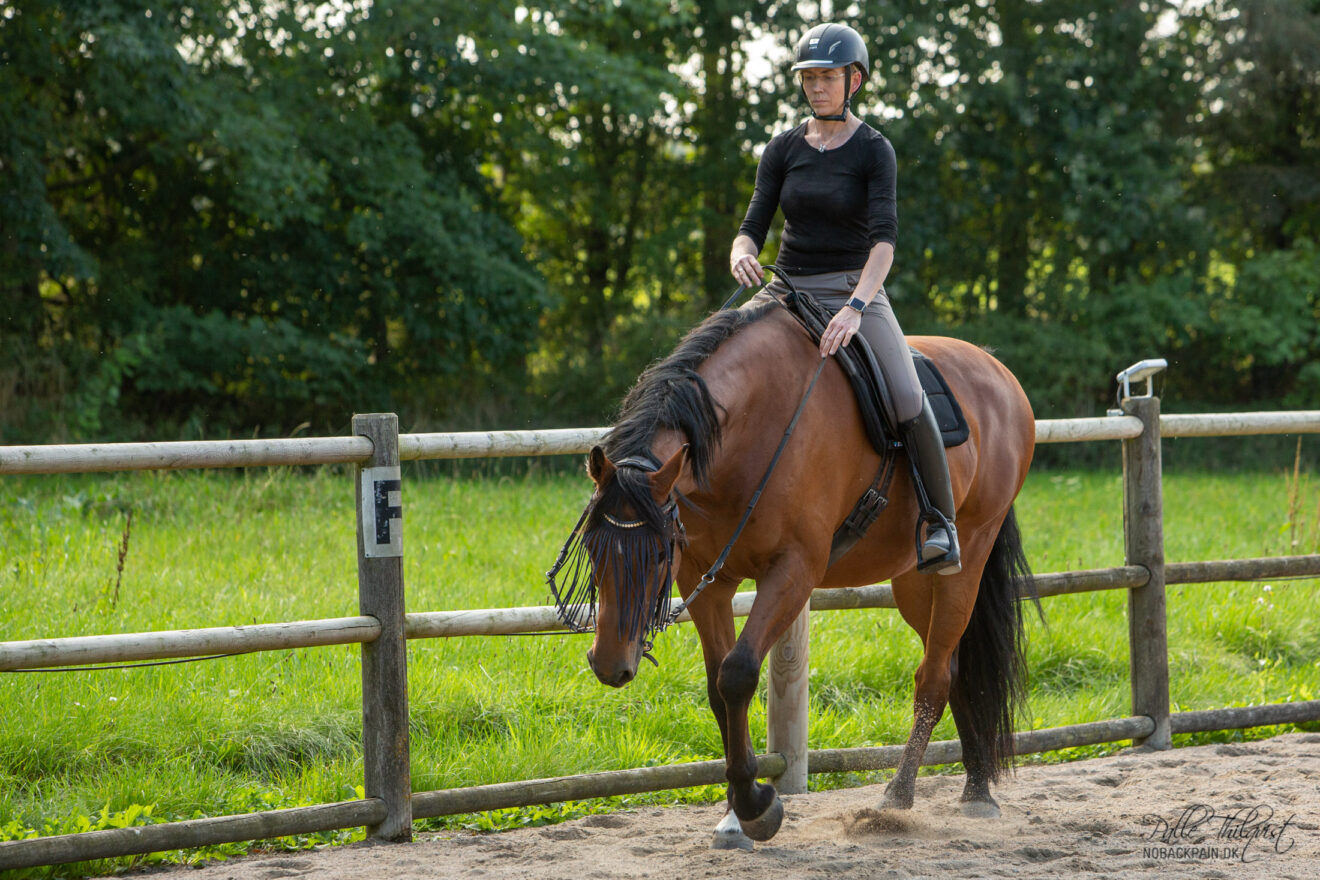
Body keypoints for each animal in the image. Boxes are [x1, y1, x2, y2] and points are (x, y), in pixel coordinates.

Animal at [549, 294, 1040, 844]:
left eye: (656, 554)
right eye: (592, 548)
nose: (609, 664)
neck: (750, 430)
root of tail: (999, 373)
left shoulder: (793, 572)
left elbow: (738, 674)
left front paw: (756, 806)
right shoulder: (708, 580)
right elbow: (718, 690)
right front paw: (734, 812)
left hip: (968, 557)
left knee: (933, 678)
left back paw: (899, 797)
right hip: (915, 582)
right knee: (955, 669)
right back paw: (975, 787)